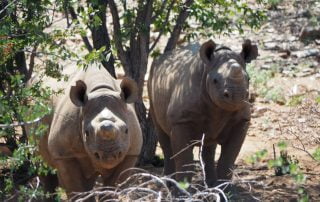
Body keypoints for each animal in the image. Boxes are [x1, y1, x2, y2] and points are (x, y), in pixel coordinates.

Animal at [34, 64, 142, 199]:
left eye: (127, 130)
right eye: (87, 133)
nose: (110, 155)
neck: (101, 90)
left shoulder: (130, 153)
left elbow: (112, 188)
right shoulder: (64, 154)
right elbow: (76, 189)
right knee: (43, 165)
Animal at [148, 39, 258, 186]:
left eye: (249, 79)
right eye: (215, 81)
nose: (237, 96)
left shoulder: (242, 120)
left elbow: (229, 158)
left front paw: (227, 190)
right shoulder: (180, 121)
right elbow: (184, 160)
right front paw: (182, 190)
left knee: (209, 142)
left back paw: (211, 186)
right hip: (151, 79)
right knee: (163, 138)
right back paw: (168, 184)